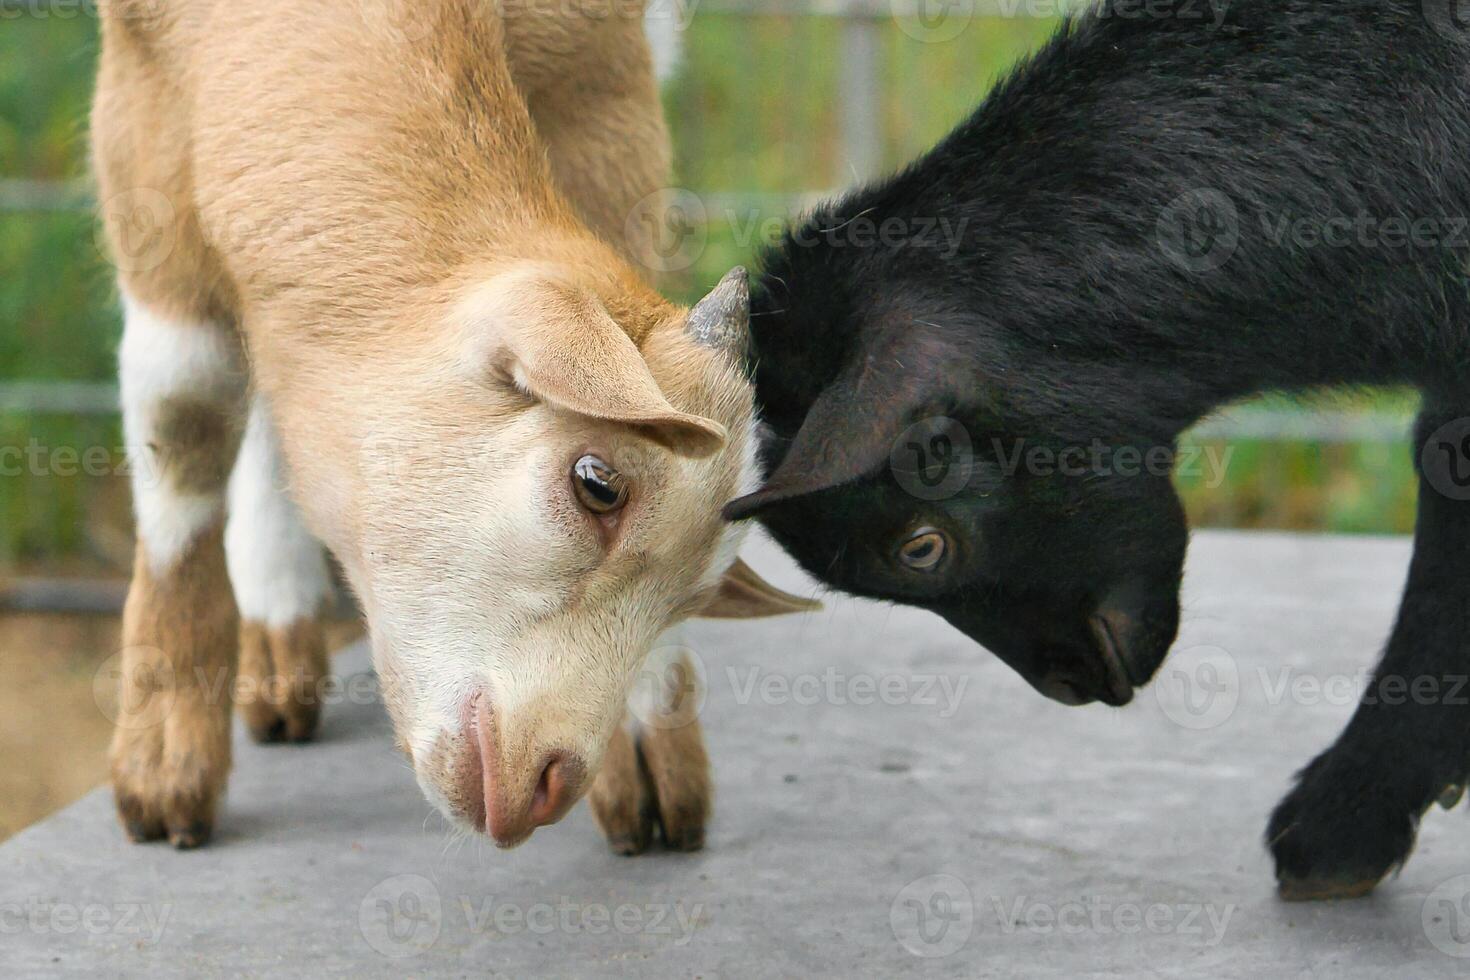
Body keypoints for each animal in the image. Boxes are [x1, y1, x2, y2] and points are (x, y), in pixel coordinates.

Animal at [96, 0, 811, 852]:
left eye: (695, 601)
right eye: (597, 485)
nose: (549, 782)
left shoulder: (601, 66)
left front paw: (649, 747)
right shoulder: (140, 87)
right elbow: (184, 418)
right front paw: (164, 770)